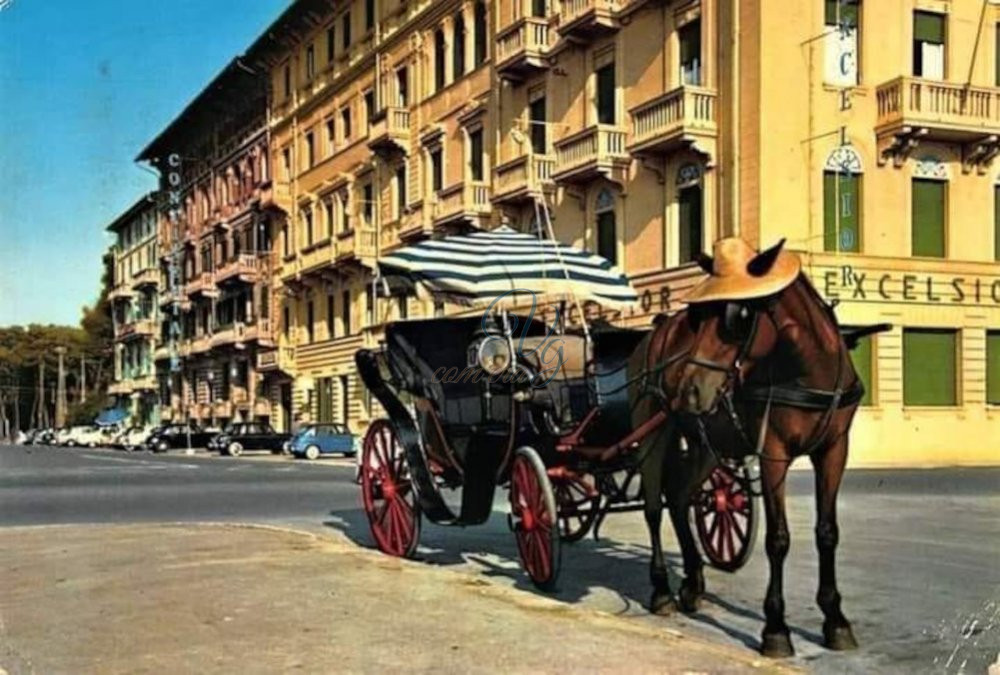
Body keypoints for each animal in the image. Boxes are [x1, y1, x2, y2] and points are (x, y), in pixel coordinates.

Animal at [632, 239, 860, 660]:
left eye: (736, 317)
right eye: (697, 317)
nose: (689, 389)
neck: (807, 370)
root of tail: (653, 333)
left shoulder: (835, 450)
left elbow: (827, 532)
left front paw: (835, 618)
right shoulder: (773, 454)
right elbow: (778, 539)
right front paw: (776, 627)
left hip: (709, 444)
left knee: (681, 497)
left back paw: (692, 582)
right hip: (654, 432)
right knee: (655, 507)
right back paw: (662, 590)